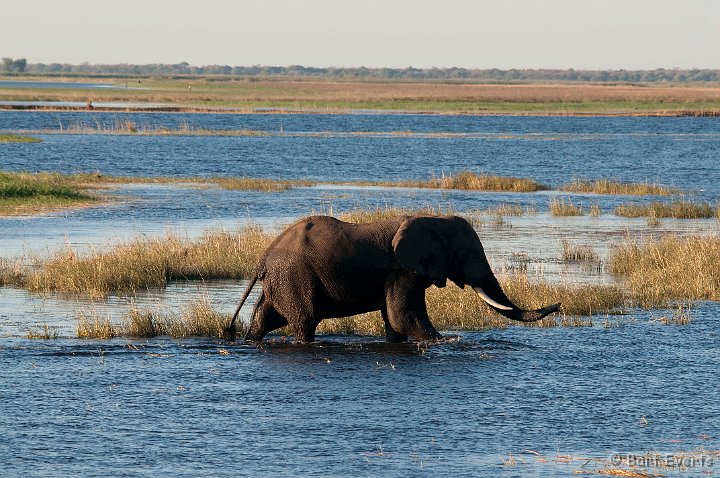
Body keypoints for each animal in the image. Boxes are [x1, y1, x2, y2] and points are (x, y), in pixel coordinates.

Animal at [222, 214, 560, 344]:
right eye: (467, 255)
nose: (557, 305)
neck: (432, 220)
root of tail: (264, 257)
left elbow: (395, 321)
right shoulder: (402, 270)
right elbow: (404, 317)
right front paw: (448, 340)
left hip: (281, 281)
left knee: (264, 319)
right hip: (294, 277)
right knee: (305, 321)